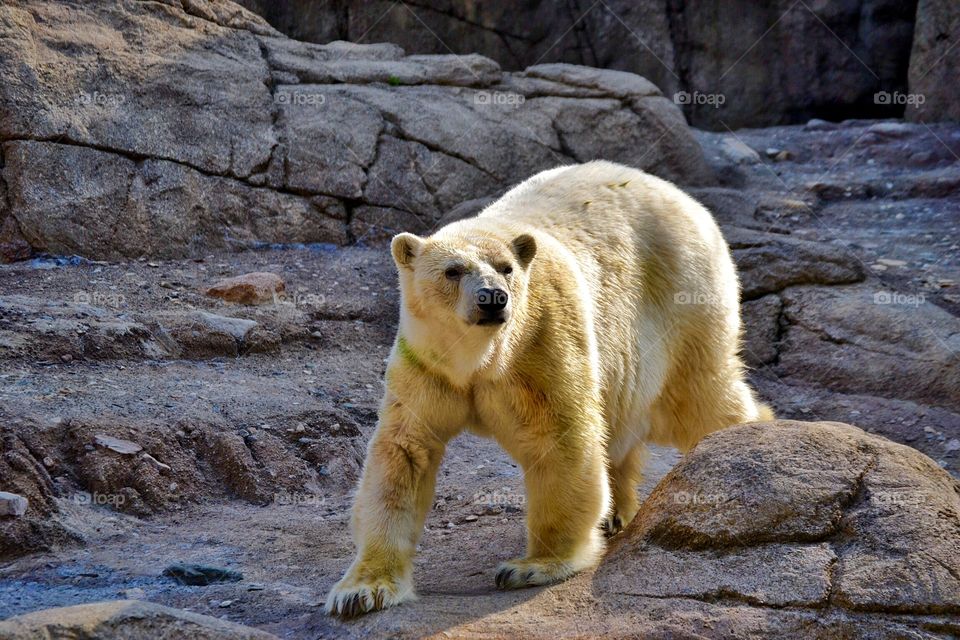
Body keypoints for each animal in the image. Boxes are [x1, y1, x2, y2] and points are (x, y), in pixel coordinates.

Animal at [325, 160, 773, 617]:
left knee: (701, 398)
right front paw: (361, 591)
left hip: (682, 301)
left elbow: (559, 439)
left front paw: (532, 566)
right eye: (453, 270)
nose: (493, 298)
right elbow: (404, 452)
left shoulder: (539, 343)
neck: (480, 359)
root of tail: (682, 197)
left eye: (506, 267)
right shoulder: (427, 366)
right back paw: (618, 512)